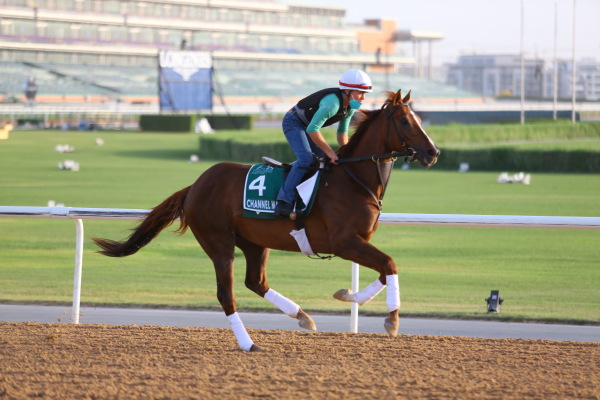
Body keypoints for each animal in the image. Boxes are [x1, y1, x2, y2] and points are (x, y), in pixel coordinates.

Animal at [94, 89, 440, 352]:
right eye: (405, 120)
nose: (433, 152)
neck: (352, 179)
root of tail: (195, 185)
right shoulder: (344, 242)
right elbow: (390, 264)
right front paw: (392, 320)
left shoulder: (359, 242)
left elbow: (384, 270)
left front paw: (347, 295)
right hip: (219, 243)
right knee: (227, 294)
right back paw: (248, 343)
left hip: (254, 243)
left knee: (255, 282)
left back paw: (302, 316)